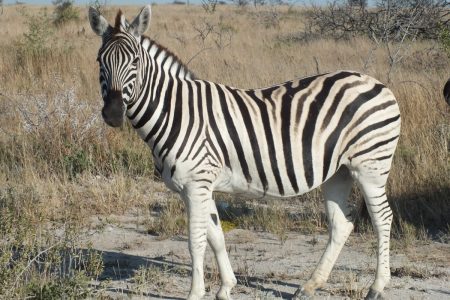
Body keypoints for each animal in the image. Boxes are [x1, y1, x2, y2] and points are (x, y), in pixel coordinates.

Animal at [88, 5, 400, 300]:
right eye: (99, 61)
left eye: (135, 61)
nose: (113, 114)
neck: (177, 111)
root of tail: (377, 82)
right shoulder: (197, 187)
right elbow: (215, 235)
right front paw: (226, 286)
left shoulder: (197, 184)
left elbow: (196, 240)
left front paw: (195, 293)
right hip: (339, 171)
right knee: (341, 225)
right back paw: (309, 286)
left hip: (370, 166)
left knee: (382, 218)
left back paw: (377, 287)